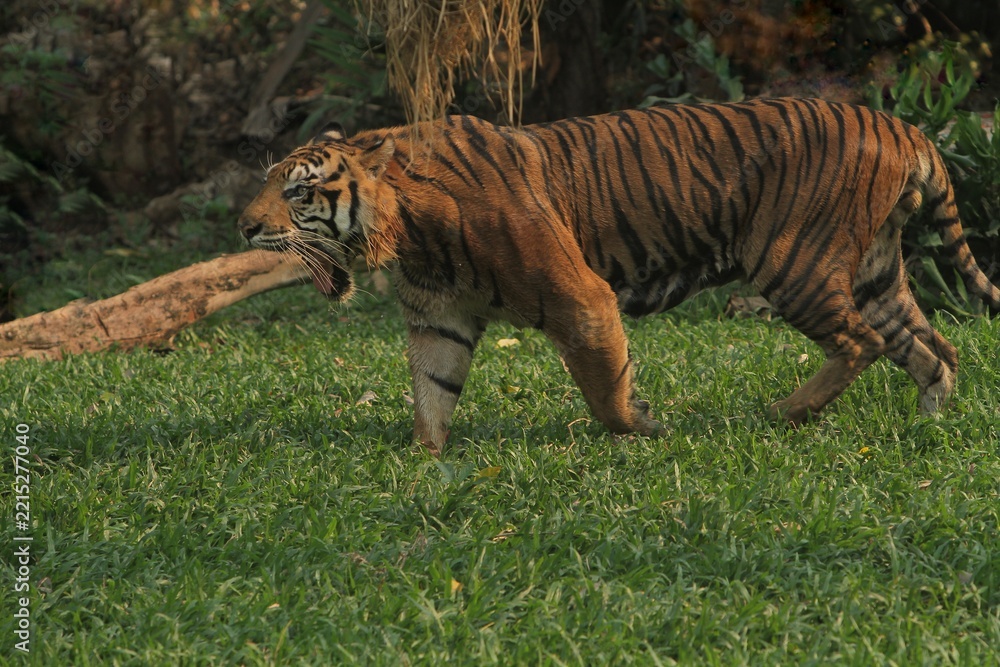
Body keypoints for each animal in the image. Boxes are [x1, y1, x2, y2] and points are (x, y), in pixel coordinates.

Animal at [238, 98, 1000, 456]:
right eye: (266, 182)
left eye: (298, 192)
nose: (243, 226)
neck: (411, 233)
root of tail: (903, 126)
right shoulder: (438, 319)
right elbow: (433, 393)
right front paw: (423, 460)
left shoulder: (581, 298)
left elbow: (604, 387)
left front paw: (643, 425)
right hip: (876, 272)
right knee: (934, 349)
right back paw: (928, 423)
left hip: (793, 262)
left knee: (860, 343)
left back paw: (785, 412)